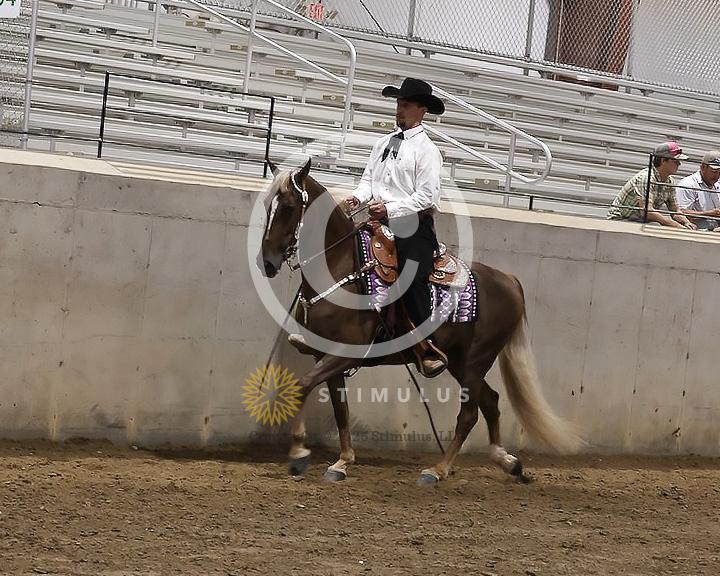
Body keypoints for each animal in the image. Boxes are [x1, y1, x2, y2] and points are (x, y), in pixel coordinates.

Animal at [257, 159, 583, 485]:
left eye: (288, 207)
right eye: (267, 206)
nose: (268, 262)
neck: (342, 267)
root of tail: (509, 280)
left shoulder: (344, 353)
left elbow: (304, 386)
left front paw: (299, 455)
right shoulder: (323, 354)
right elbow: (338, 407)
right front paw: (342, 461)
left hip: (476, 359)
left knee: (470, 414)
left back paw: (437, 470)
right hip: (459, 361)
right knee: (490, 401)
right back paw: (507, 461)